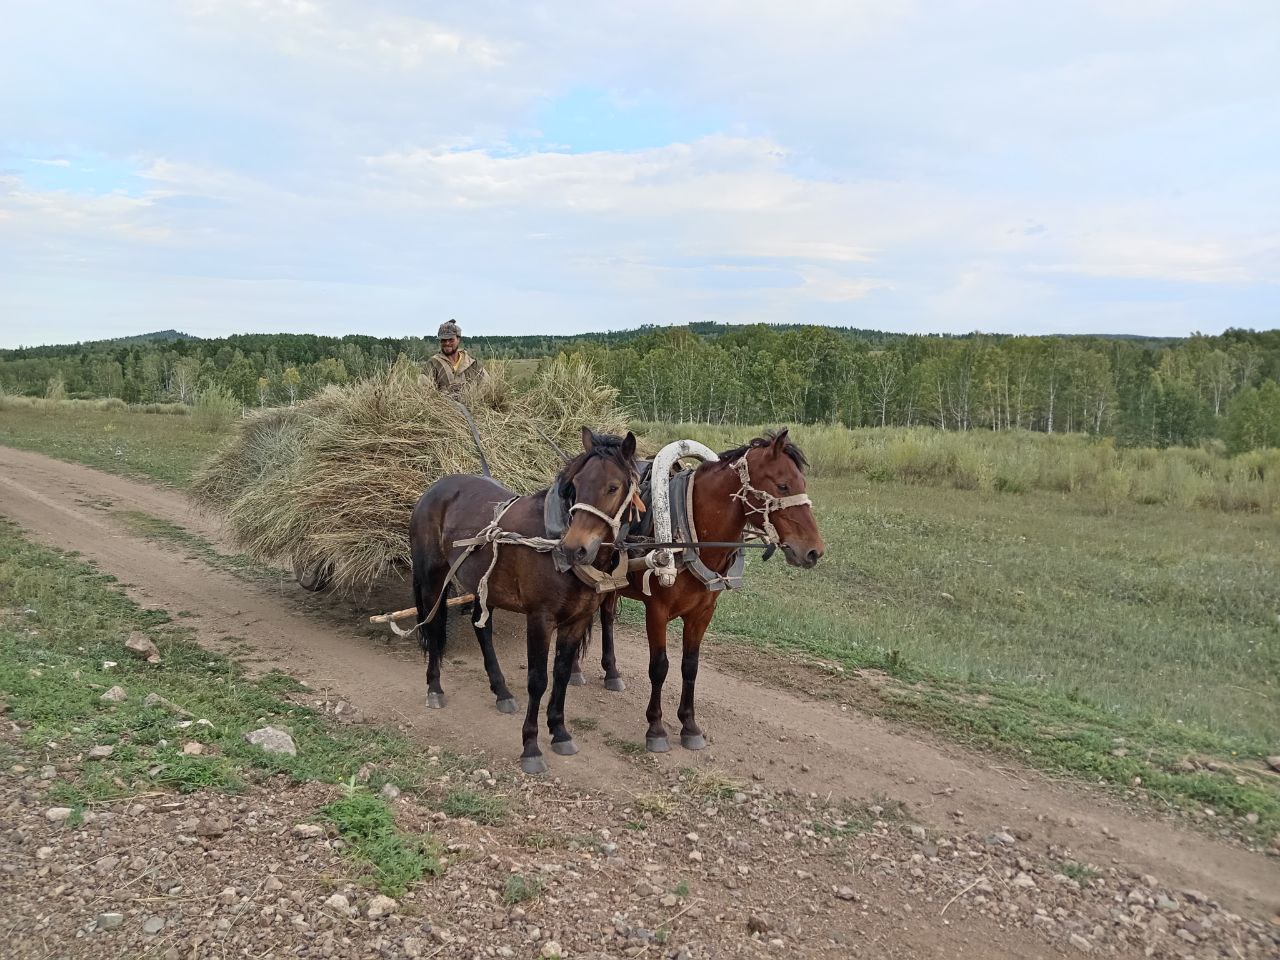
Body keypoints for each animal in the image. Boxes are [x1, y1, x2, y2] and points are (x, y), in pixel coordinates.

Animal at [412, 427, 637, 773]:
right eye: (576, 485)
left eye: (613, 487)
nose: (574, 549)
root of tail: (435, 488)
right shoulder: (540, 619)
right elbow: (538, 680)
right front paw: (531, 746)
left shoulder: (577, 621)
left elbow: (561, 675)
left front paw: (559, 732)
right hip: (433, 579)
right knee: (434, 628)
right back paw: (434, 689)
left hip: (484, 585)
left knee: (481, 629)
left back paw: (501, 691)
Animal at [576, 432, 824, 757]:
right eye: (783, 485)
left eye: (803, 484)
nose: (814, 551)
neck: (689, 531)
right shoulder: (656, 612)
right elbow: (659, 667)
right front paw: (656, 728)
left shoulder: (702, 613)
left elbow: (690, 667)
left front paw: (689, 725)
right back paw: (575, 671)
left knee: (605, 618)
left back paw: (612, 672)